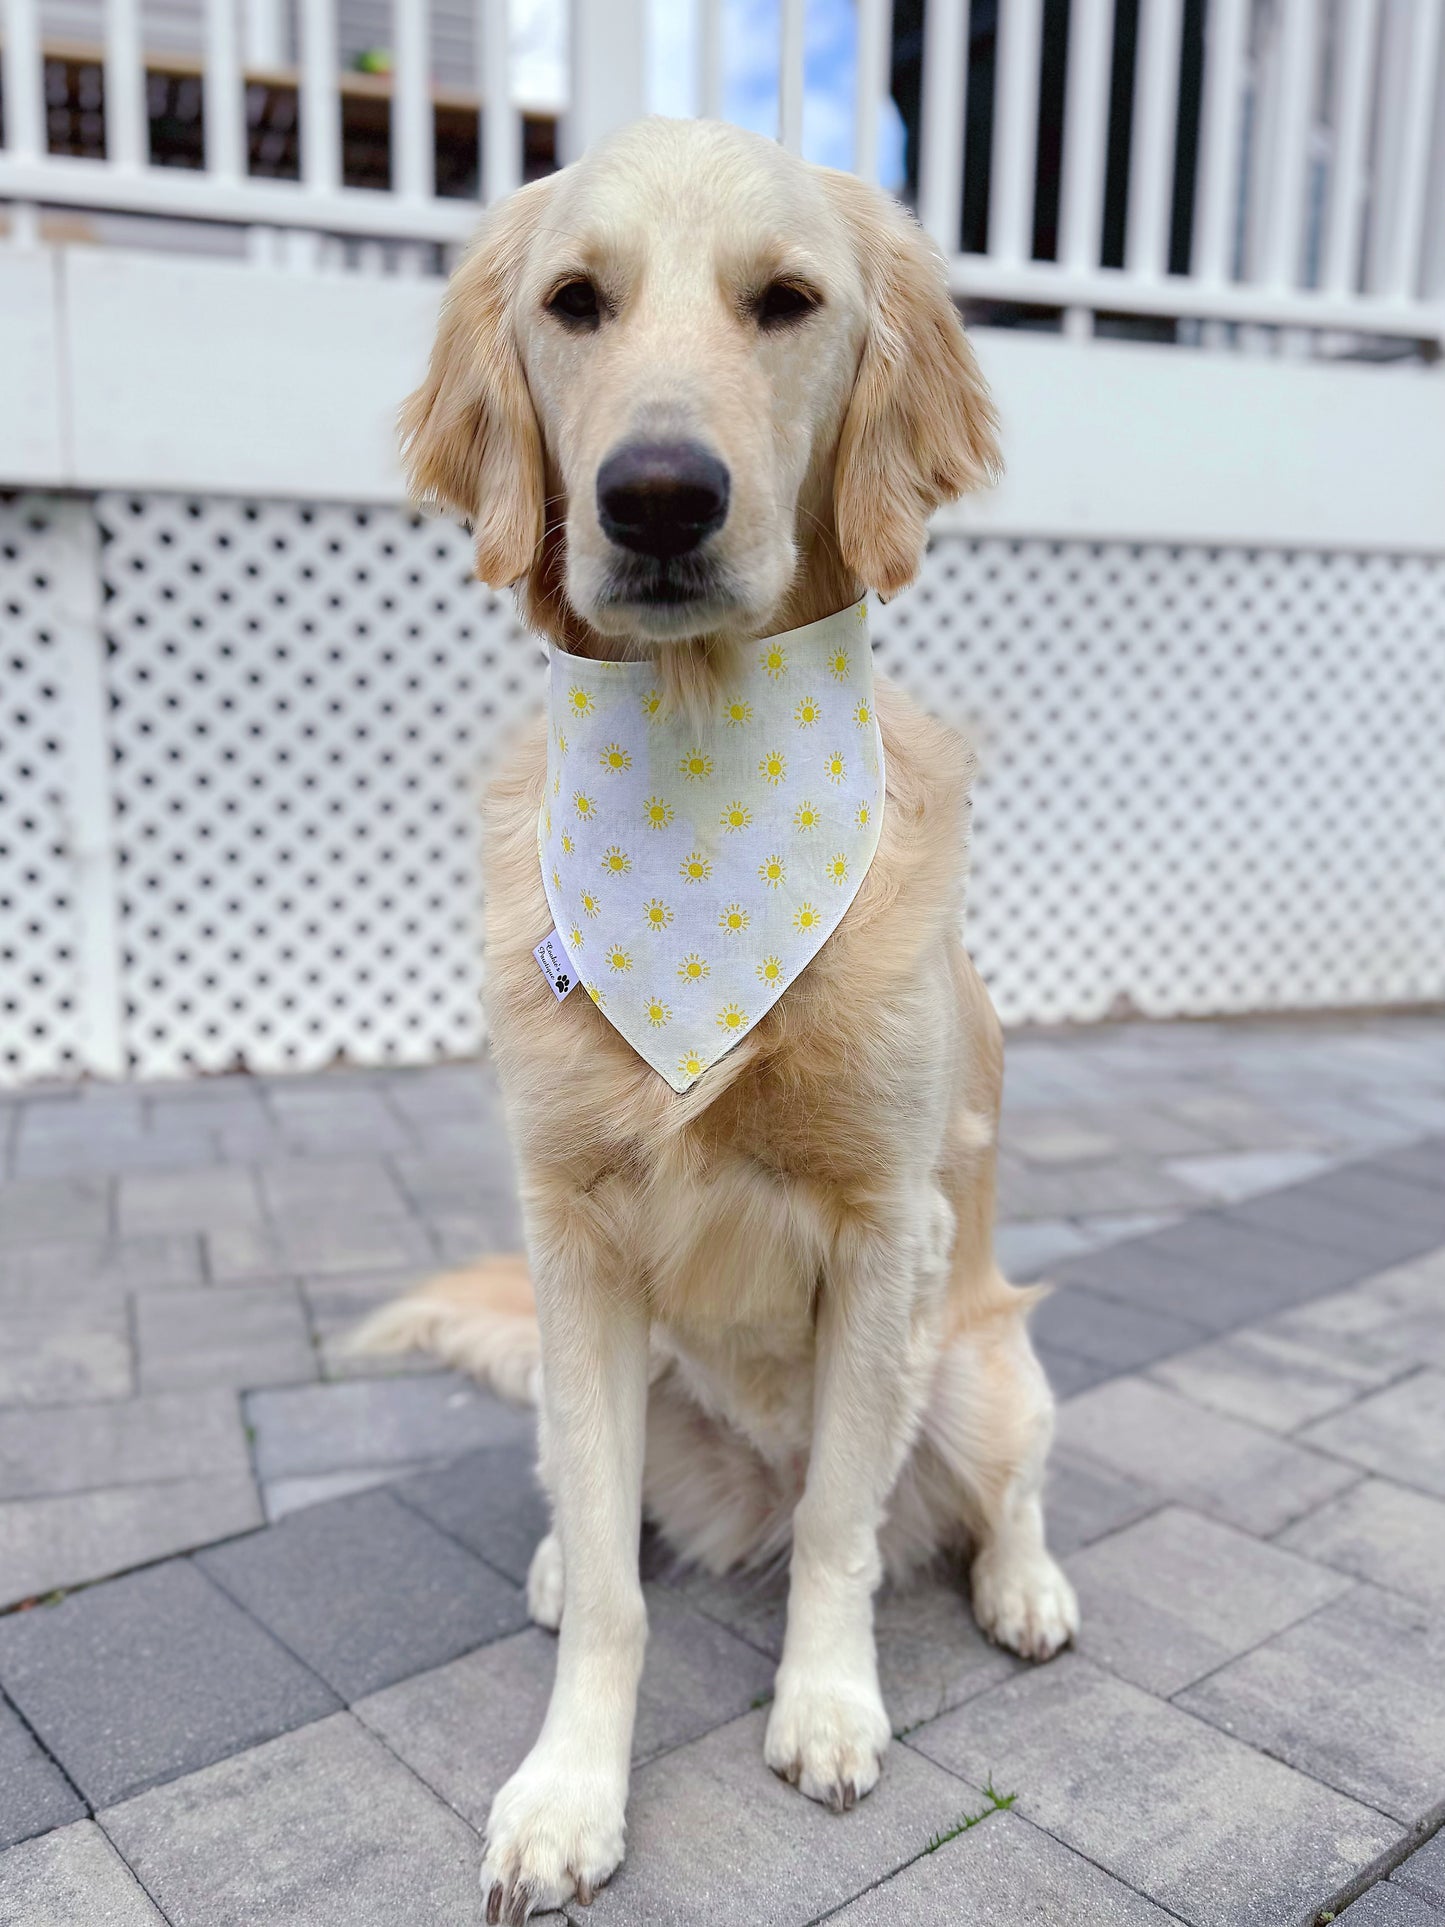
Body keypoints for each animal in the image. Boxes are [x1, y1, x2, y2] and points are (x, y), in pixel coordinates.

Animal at [360, 120, 1078, 1927]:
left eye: (788, 301)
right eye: (574, 301)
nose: (661, 495)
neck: (697, 765)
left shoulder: (888, 1229)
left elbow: (841, 1519)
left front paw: (826, 1705)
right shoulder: (572, 1235)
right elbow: (626, 1592)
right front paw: (566, 1791)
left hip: (990, 1361)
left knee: (998, 1486)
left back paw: (1027, 1586)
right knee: (605, 1509)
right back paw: (564, 1552)